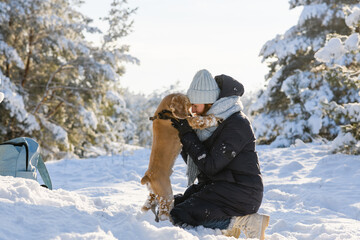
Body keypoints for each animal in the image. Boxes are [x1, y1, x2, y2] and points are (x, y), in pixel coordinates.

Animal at [140, 93, 219, 221]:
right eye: (187, 102)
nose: (193, 108)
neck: (164, 112)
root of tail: (147, 176)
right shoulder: (187, 121)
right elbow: (200, 120)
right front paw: (214, 118)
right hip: (166, 194)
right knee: (163, 212)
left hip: (153, 194)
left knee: (147, 205)